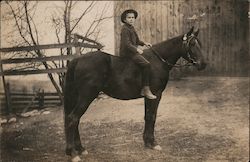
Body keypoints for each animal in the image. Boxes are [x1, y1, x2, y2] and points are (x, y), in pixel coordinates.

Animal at [63, 26, 206, 161]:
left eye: (199, 43)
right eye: (192, 43)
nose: (203, 64)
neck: (158, 61)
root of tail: (77, 60)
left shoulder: (148, 97)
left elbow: (147, 117)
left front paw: (147, 142)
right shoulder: (156, 95)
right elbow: (152, 117)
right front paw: (153, 143)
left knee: (74, 120)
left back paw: (80, 149)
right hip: (86, 97)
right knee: (73, 119)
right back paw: (73, 153)